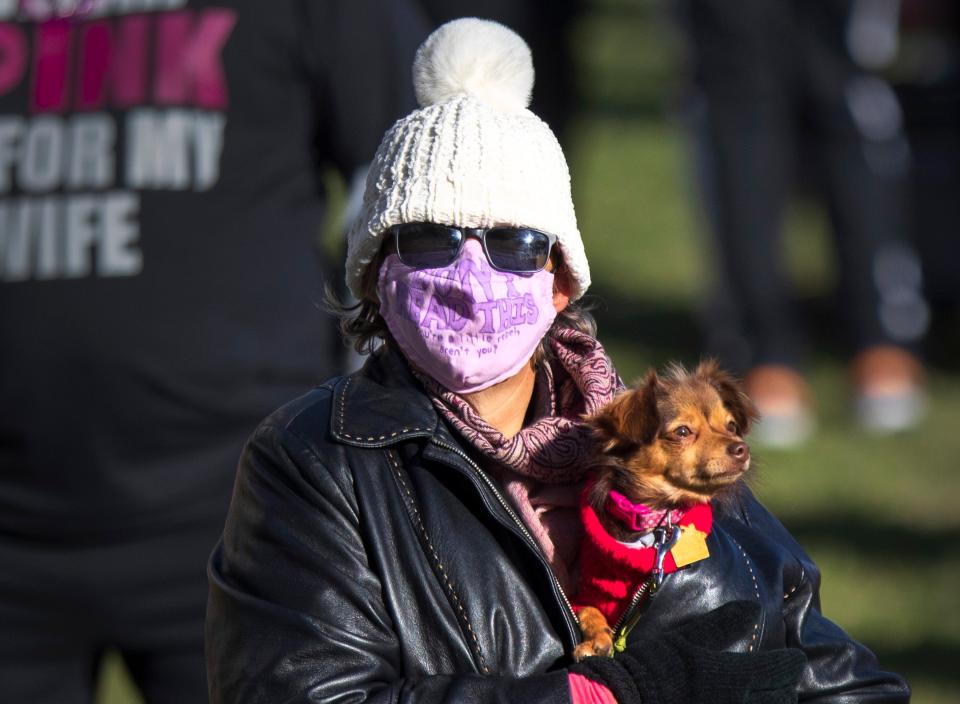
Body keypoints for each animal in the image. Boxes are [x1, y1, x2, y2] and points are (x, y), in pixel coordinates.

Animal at [568, 360, 756, 664]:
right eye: (682, 432)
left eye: (731, 426)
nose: (742, 448)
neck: (654, 520)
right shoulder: (590, 593)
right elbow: (588, 611)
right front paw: (597, 639)